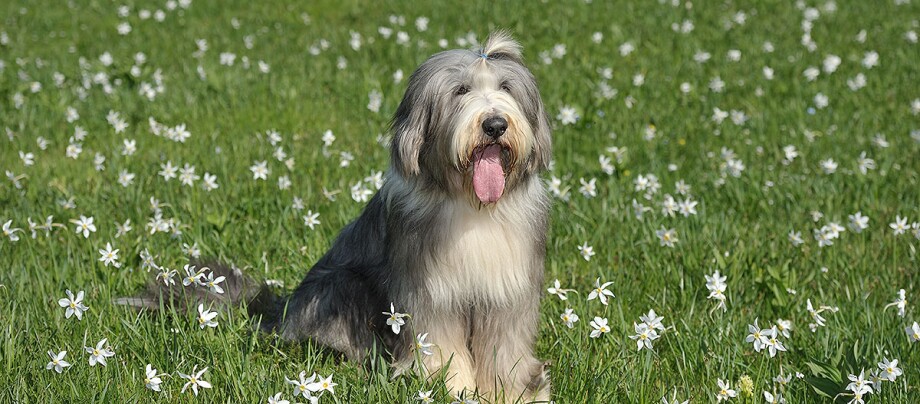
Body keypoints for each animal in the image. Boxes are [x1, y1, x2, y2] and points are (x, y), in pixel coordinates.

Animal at [118, 32, 548, 404]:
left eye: (506, 88)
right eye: (461, 91)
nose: (495, 124)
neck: (470, 206)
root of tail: (281, 310)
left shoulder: (507, 294)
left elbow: (504, 349)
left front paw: (515, 393)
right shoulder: (430, 295)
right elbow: (442, 349)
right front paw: (453, 392)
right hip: (341, 286)